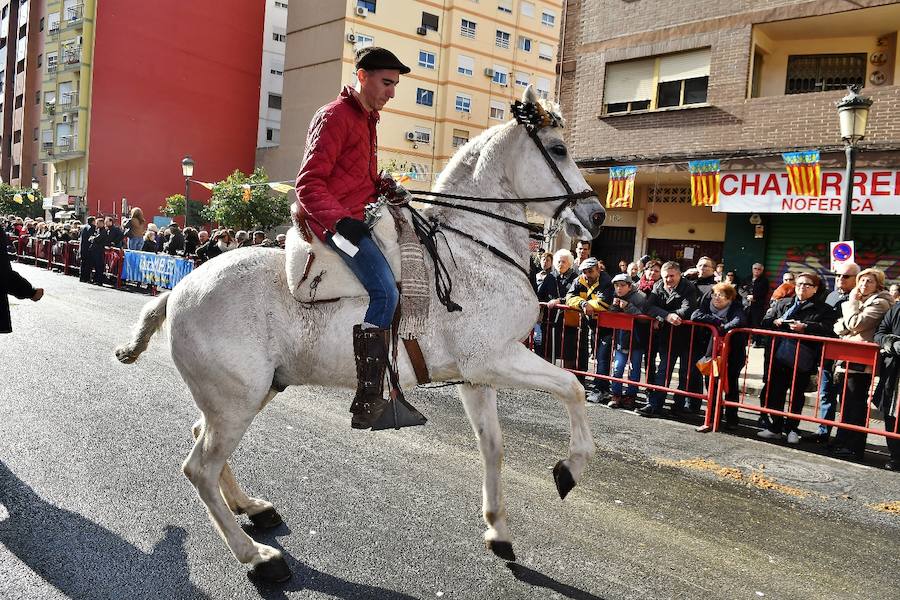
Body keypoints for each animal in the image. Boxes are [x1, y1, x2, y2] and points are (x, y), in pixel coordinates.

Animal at [112, 86, 604, 584]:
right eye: (557, 150)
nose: (596, 214)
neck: (472, 250)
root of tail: (177, 291)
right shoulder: (496, 360)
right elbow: (574, 387)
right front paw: (569, 469)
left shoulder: (476, 377)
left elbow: (494, 447)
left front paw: (498, 531)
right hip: (236, 401)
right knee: (200, 469)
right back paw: (257, 557)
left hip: (249, 394)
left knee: (203, 440)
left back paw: (252, 507)